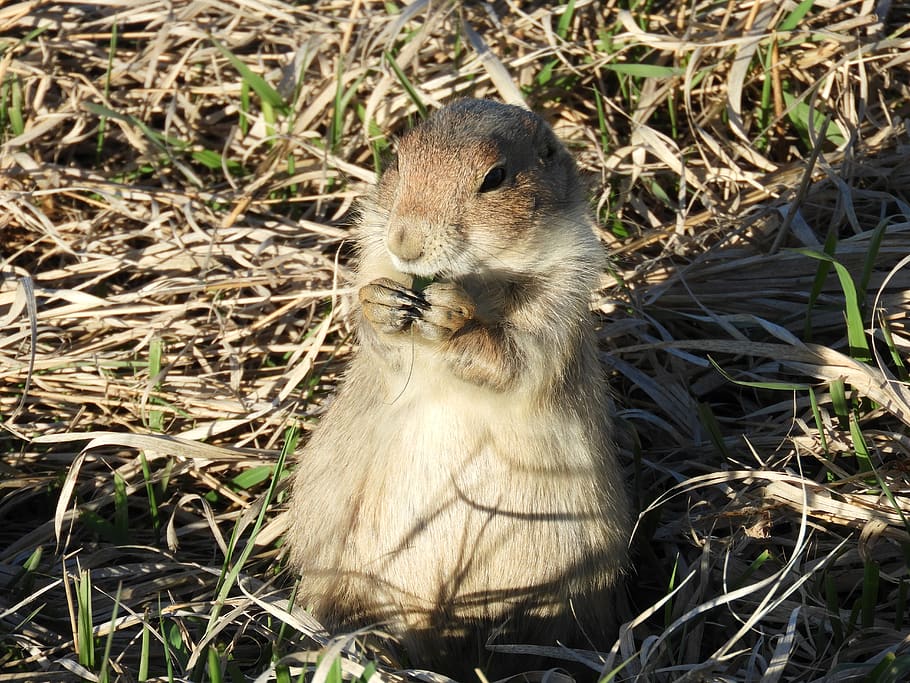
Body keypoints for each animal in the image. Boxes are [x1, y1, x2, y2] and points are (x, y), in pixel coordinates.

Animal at [286, 99, 630, 677]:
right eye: (397, 159)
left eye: (495, 177)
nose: (405, 241)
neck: (475, 279)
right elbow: (376, 328)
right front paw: (383, 303)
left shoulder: (559, 296)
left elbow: (517, 355)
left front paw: (451, 314)